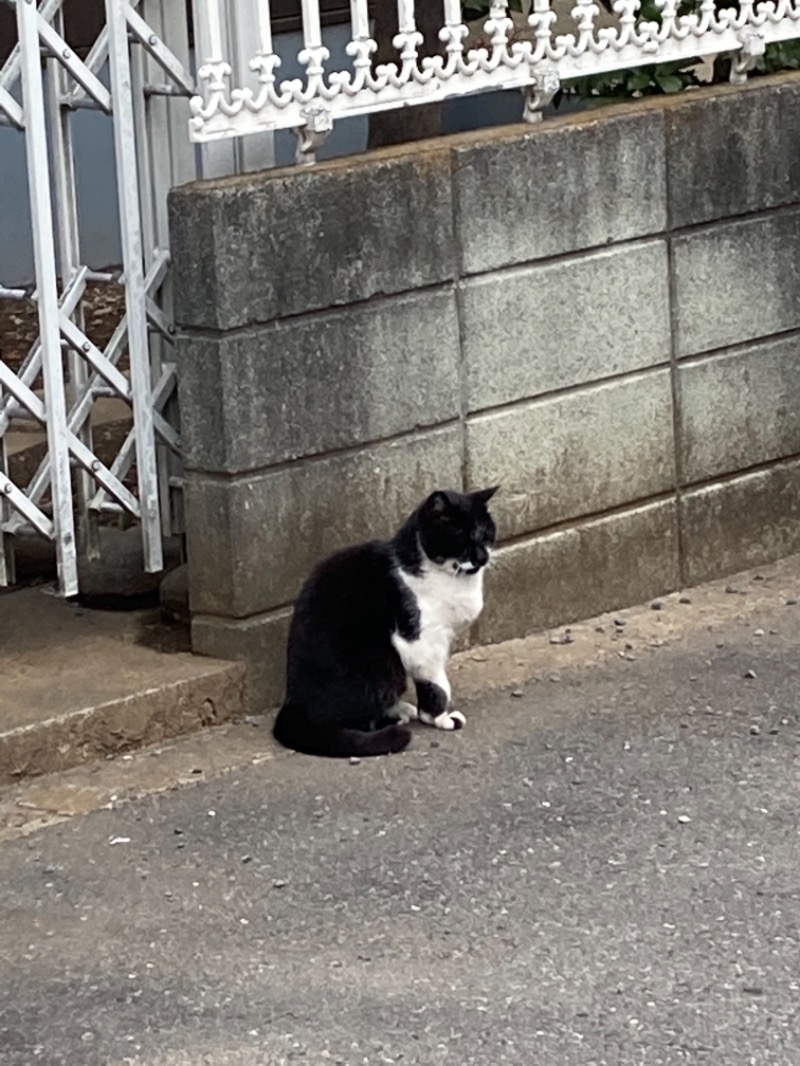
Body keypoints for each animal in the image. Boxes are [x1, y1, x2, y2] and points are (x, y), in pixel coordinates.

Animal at [275, 488, 501, 758]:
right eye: (461, 536)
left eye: (485, 533)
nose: (483, 557)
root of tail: (294, 702)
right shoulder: (420, 640)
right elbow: (437, 683)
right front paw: (440, 717)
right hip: (381, 666)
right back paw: (393, 719)